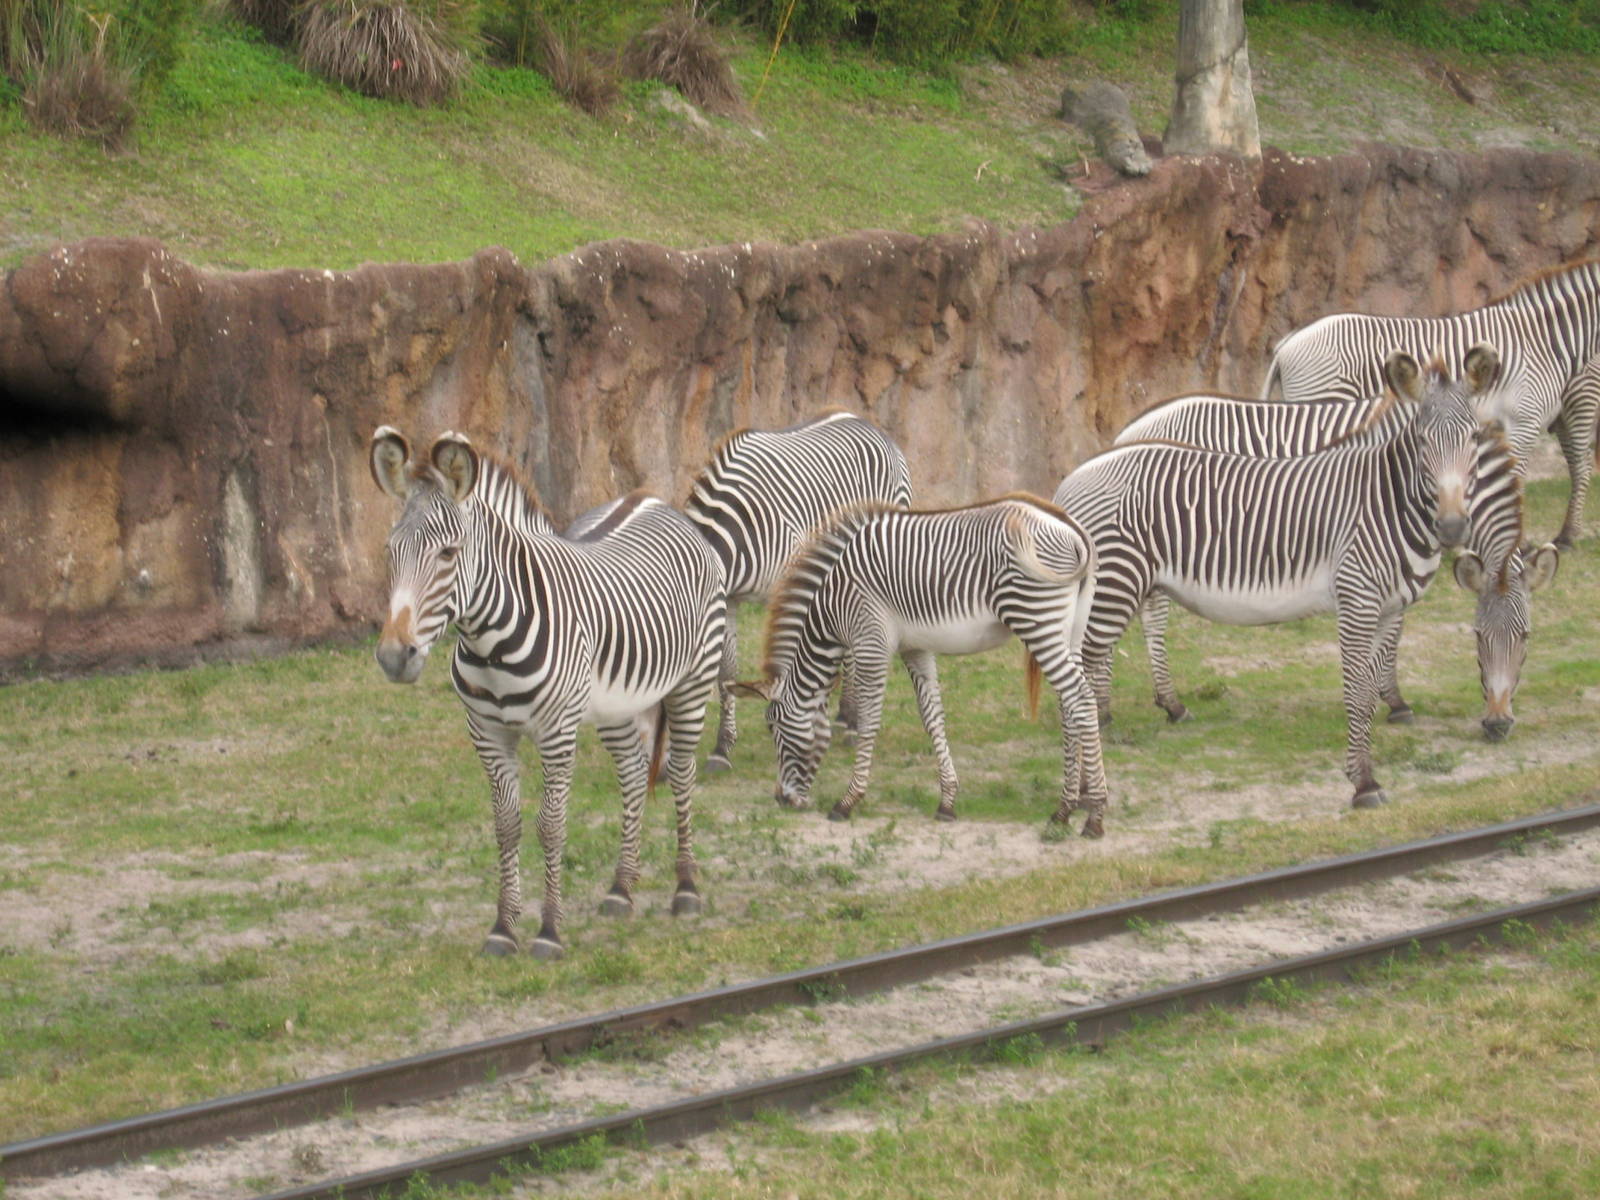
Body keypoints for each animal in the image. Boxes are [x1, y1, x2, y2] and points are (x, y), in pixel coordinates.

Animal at [369, 427, 727, 961]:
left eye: (448, 553)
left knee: (681, 774)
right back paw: (621, 889)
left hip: (693, 681)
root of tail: (651, 499)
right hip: (617, 704)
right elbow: (506, 825)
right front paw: (503, 928)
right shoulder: (488, 733)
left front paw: (549, 932)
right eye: (391, 552)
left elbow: (550, 825)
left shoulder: (557, 733)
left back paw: (686, 889)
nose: (394, 657)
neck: (491, 642)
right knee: (633, 772)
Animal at [684, 409, 912, 771]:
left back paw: (851, 722)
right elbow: (727, 671)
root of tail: (864, 421)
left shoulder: (787, 585)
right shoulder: (729, 597)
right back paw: (845, 718)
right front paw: (722, 748)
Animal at [731, 495, 1108, 837]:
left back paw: (1094, 817)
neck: (832, 603)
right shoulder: (916, 648)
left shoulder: (870, 642)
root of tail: (1070, 526)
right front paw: (947, 802)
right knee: (1069, 705)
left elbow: (869, 721)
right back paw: (1064, 810)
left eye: (772, 726)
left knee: (1080, 699)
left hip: (1036, 618)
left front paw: (849, 800)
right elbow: (932, 718)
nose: (781, 800)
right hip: (1069, 629)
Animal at [1053, 348, 1495, 810]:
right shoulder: (1357, 598)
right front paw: (1364, 783)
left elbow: (1371, 689)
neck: (1387, 501)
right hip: (1115, 580)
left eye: (1474, 438)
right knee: (1080, 677)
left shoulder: (1389, 609)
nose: (1452, 527)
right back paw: (1083, 788)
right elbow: (1356, 691)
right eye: (1423, 441)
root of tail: (1072, 481)